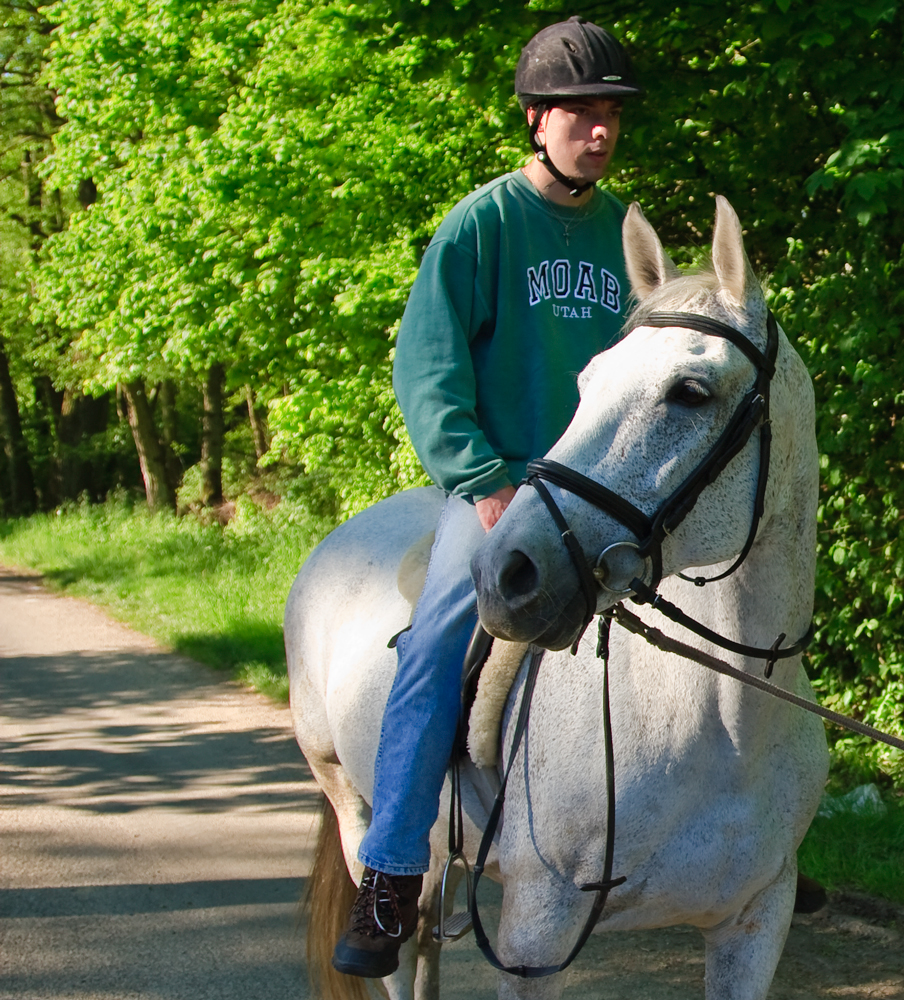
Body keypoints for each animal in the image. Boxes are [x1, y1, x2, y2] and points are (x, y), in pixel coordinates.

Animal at [286, 197, 828, 1000]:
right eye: (589, 383)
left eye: (690, 392)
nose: (505, 575)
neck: (716, 724)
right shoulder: (533, 936)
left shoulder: (753, 928)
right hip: (352, 805)